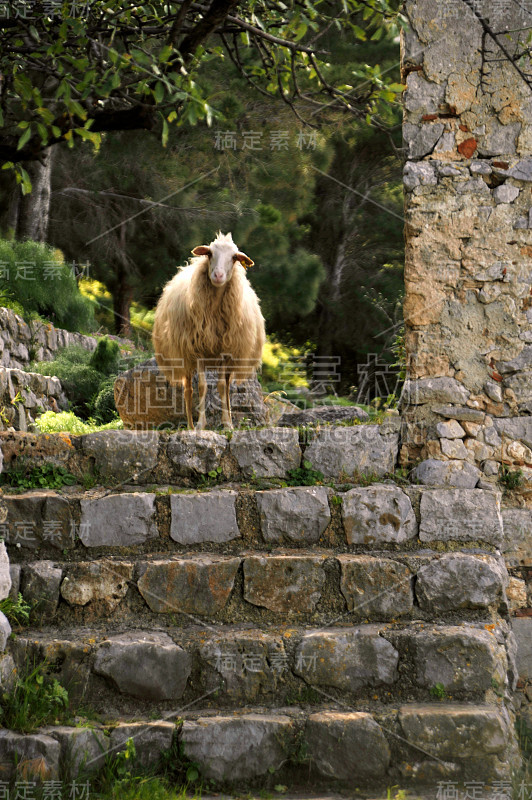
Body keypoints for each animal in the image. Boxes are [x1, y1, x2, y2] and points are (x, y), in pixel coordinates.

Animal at [153, 231, 264, 432]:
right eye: (210, 253)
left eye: (234, 257)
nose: (218, 275)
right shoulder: (198, 352)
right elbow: (202, 387)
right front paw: (200, 425)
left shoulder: (225, 352)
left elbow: (221, 386)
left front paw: (227, 424)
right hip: (184, 356)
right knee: (188, 390)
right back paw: (190, 425)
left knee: (226, 386)